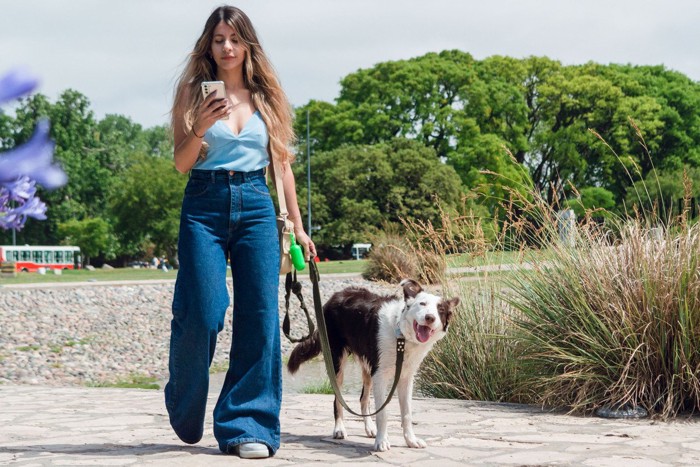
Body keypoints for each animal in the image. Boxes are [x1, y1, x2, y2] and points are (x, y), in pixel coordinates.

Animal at [288, 280, 460, 452]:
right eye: (422, 304)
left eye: (441, 310)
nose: (430, 318)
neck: (402, 337)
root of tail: (336, 295)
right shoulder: (380, 375)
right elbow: (382, 413)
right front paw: (382, 441)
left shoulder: (405, 377)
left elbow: (407, 413)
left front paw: (410, 440)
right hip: (337, 362)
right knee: (338, 399)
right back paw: (339, 429)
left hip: (368, 367)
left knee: (363, 399)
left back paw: (370, 428)